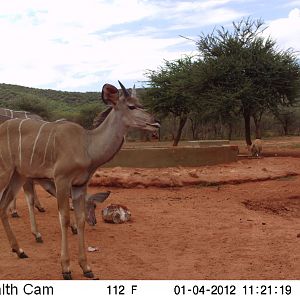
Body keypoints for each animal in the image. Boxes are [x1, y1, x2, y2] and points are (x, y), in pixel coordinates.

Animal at [0, 81, 159, 278]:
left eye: (141, 103)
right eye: (131, 106)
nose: (156, 123)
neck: (87, 145)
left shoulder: (79, 185)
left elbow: (81, 219)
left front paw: (86, 267)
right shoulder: (61, 180)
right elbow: (65, 219)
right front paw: (66, 268)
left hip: (18, 175)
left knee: (3, 206)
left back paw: (19, 250)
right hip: (6, 173)